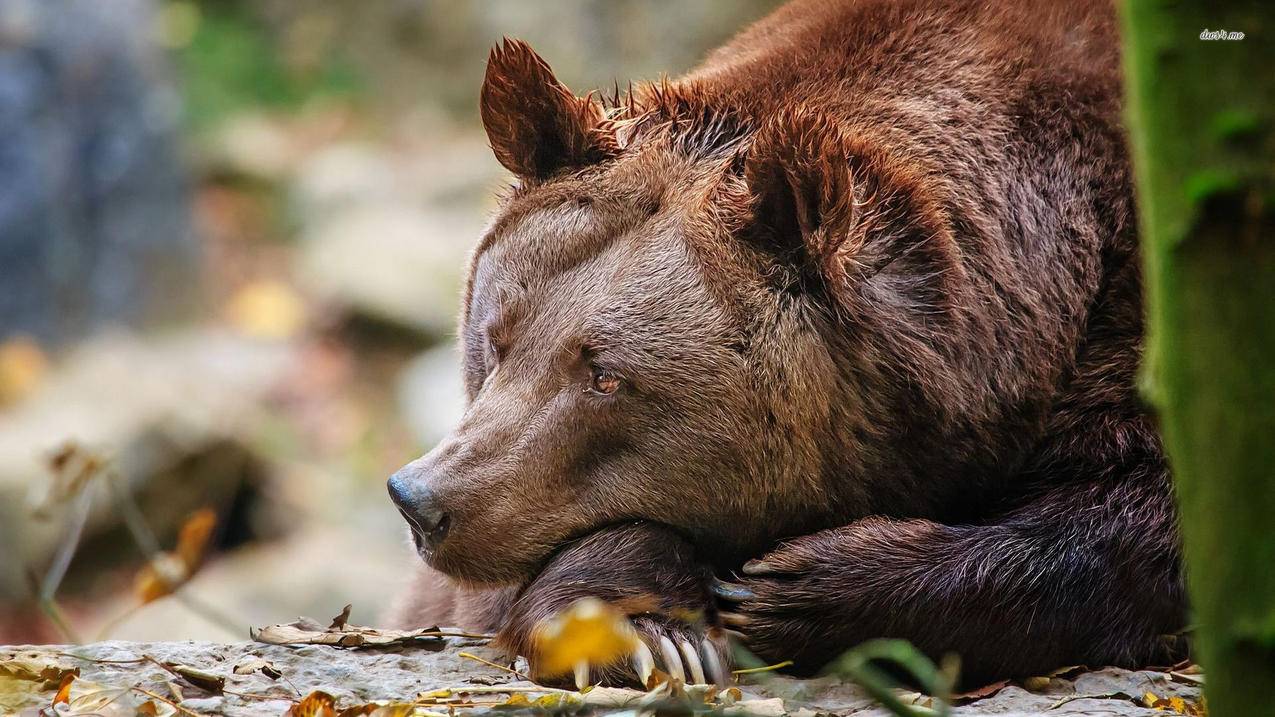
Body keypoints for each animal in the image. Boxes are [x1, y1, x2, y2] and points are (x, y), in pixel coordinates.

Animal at [382, 0, 1188, 688]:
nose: (423, 500)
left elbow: (1136, 520)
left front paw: (796, 585)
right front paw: (649, 632)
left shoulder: (1133, 316)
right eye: (495, 335)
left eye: (607, 376)